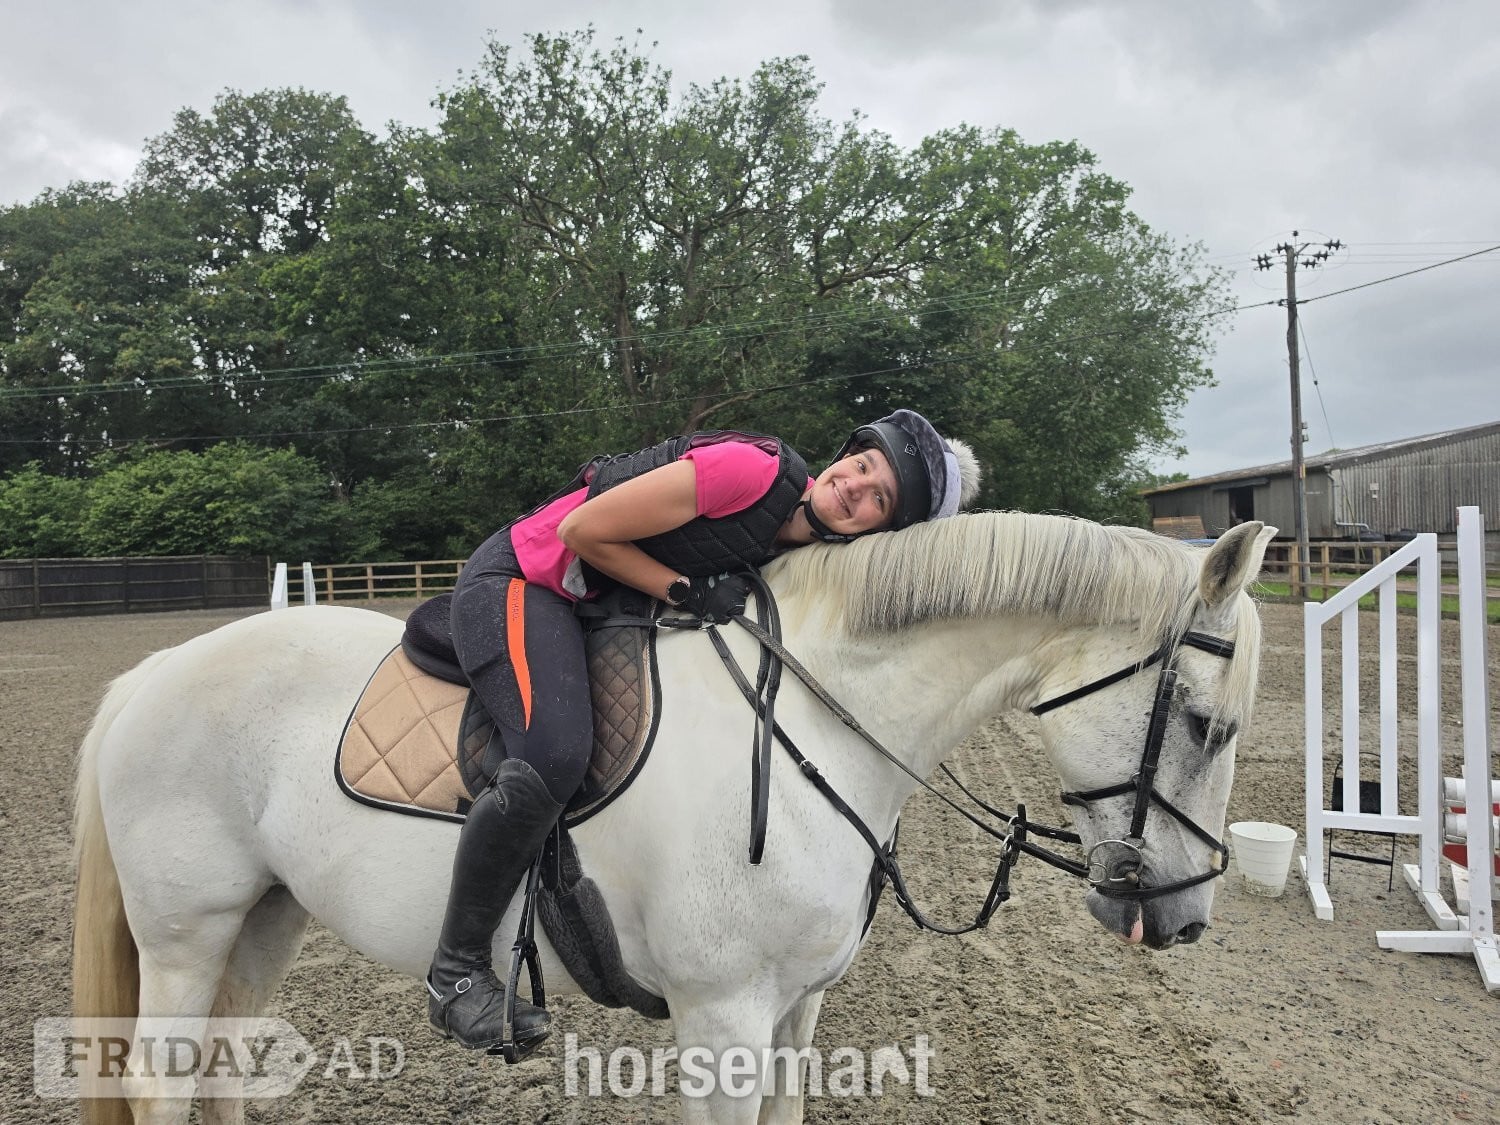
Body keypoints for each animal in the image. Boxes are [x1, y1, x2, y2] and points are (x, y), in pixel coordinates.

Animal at [72, 512, 1275, 1124]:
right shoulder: (723, 1019)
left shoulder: (793, 1016)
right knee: (162, 1083)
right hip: (185, 936)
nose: (1184, 919)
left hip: (264, 920)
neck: (815, 721)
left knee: (222, 1074)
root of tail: (152, 674)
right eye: (1203, 724)